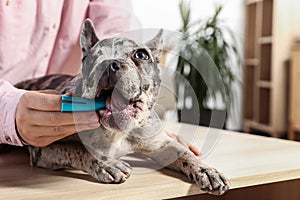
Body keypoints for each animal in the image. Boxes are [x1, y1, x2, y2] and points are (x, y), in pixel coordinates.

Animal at [13, 19, 230, 195]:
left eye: (141, 55)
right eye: (91, 58)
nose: (109, 63)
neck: (115, 132)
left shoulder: (160, 143)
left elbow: (185, 154)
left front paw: (207, 170)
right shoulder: (45, 147)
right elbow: (78, 149)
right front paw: (107, 164)